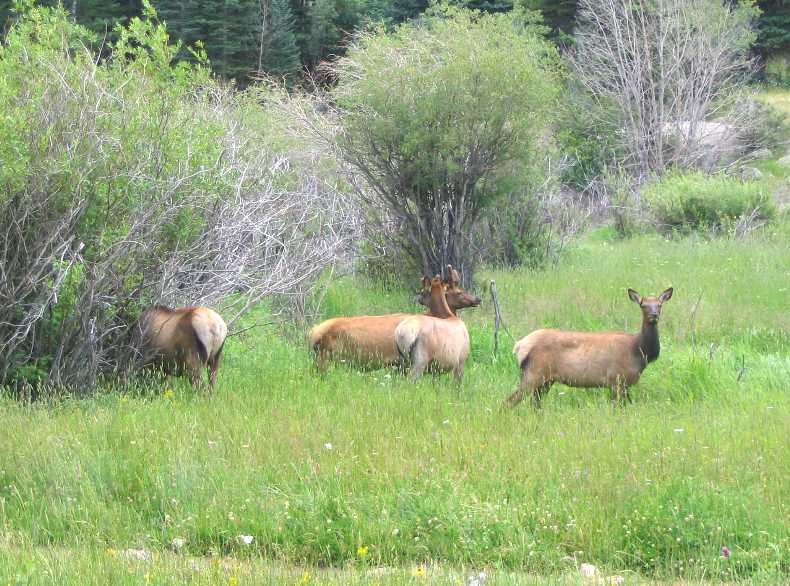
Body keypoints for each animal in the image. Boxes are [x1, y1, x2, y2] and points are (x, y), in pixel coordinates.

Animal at [508, 286, 676, 406]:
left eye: (659, 305)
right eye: (643, 305)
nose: (654, 315)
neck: (640, 352)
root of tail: (519, 346)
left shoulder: (624, 384)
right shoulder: (615, 379)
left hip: (546, 380)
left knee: (534, 403)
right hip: (533, 373)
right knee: (510, 401)